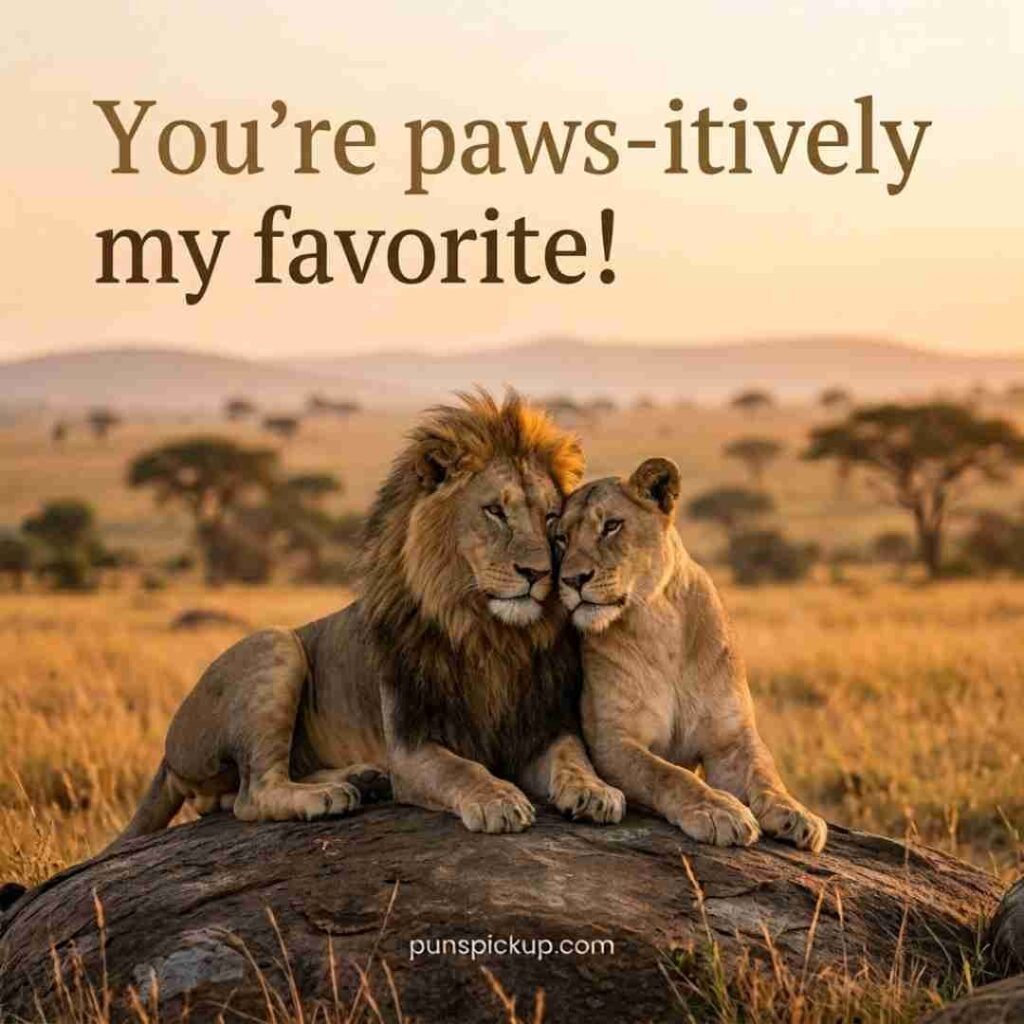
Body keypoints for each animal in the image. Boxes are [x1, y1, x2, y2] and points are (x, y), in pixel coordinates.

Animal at [116, 391, 624, 843]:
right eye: (495, 511)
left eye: (551, 518)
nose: (538, 573)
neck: (489, 632)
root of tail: (168, 751)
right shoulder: (411, 745)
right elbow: (462, 768)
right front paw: (498, 799)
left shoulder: (542, 727)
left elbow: (573, 759)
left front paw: (597, 791)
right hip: (275, 645)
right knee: (251, 793)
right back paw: (328, 796)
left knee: (227, 797)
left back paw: (362, 779)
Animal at [554, 457, 827, 851]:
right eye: (561, 538)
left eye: (611, 526)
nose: (572, 580)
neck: (657, 623)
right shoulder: (611, 741)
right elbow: (668, 774)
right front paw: (718, 811)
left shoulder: (730, 739)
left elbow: (766, 771)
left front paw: (797, 813)